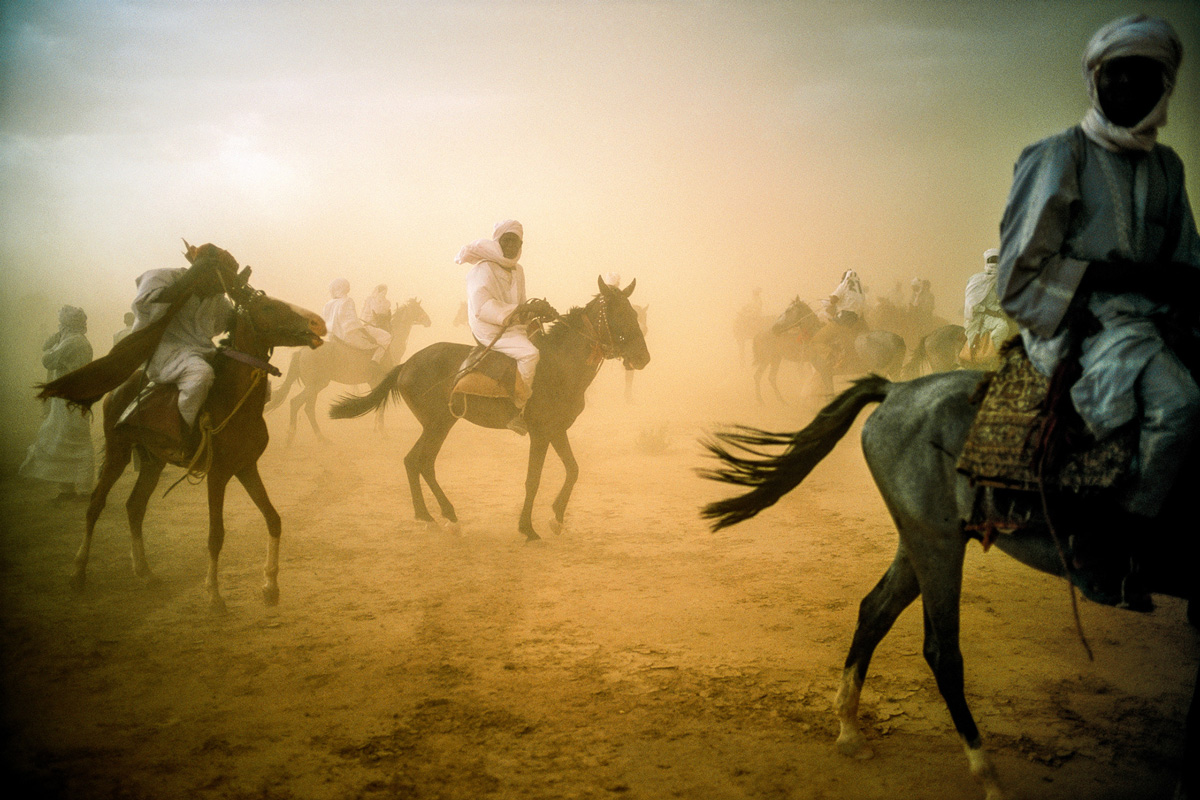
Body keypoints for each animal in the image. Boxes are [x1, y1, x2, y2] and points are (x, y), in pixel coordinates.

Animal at [266, 297, 432, 443]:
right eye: (418, 309)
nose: (428, 321)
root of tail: (301, 352)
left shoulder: (374, 382)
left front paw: (377, 429)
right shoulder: (377, 380)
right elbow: (379, 406)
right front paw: (382, 432)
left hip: (314, 386)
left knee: (307, 407)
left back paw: (319, 438)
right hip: (316, 384)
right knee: (297, 403)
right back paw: (297, 437)